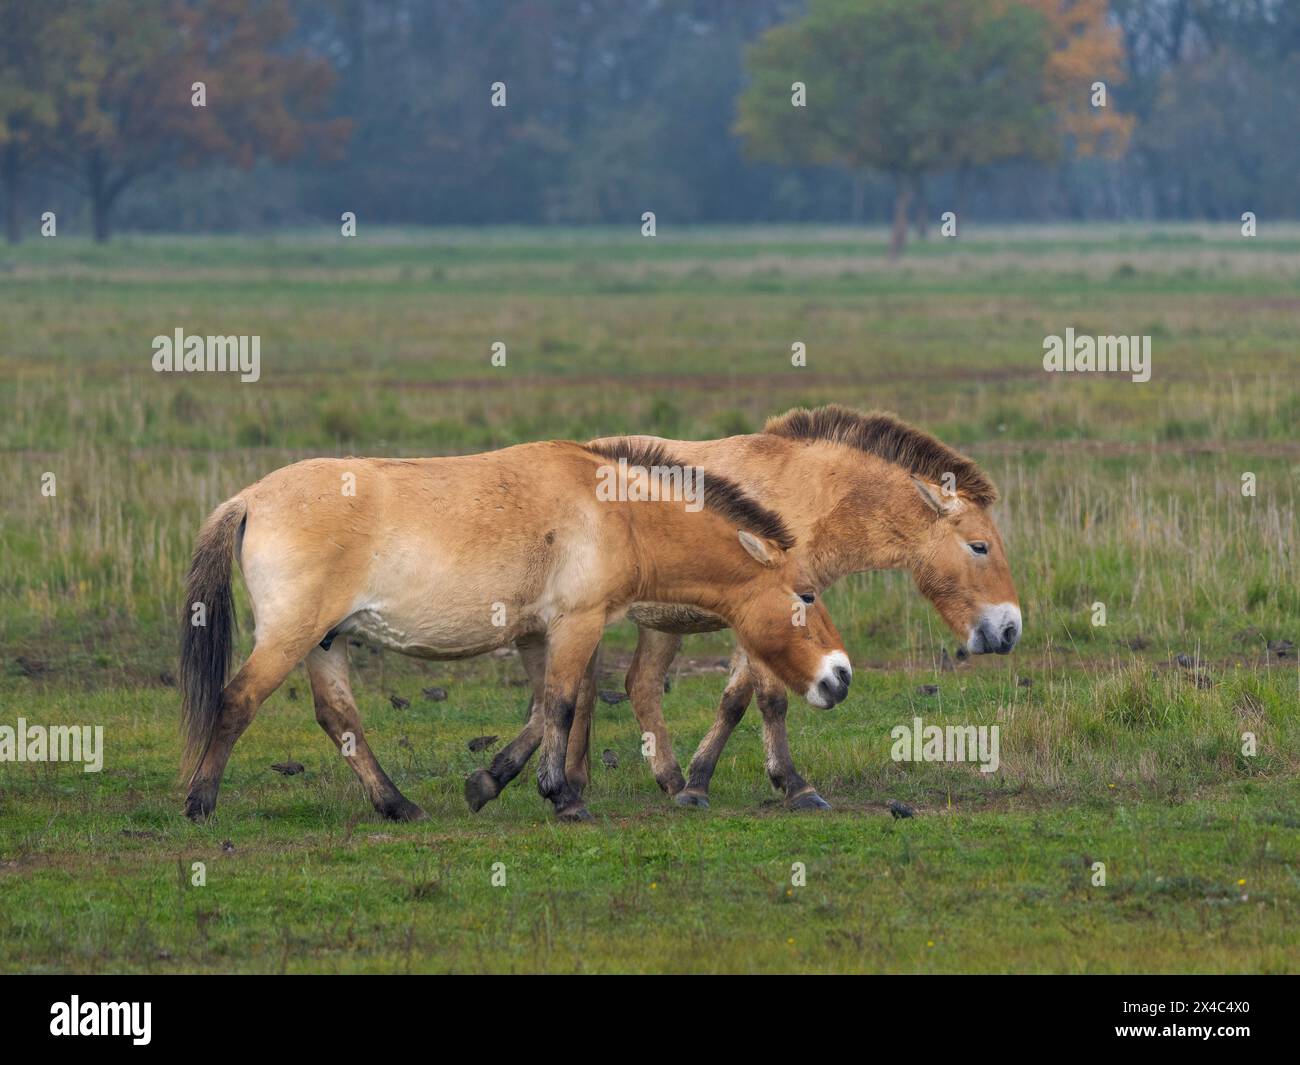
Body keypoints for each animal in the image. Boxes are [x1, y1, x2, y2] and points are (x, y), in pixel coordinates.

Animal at [183, 436, 852, 821]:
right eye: (806, 595)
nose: (841, 677)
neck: (615, 510)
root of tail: (250, 498)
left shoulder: (535, 635)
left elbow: (542, 710)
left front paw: (489, 783)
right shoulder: (577, 624)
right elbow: (562, 705)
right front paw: (564, 798)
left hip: (327, 641)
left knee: (338, 718)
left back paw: (397, 805)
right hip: (292, 635)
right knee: (237, 699)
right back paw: (199, 802)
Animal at [564, 408, 1019, 806]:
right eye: (979, 546)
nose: (1010, 628)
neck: (812, 497)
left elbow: (735, 700)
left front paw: (697, 783)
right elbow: (771, 700)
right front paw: (796, 787)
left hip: (660, 625)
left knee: (638, 686)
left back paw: (664, 779)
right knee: (588, 690)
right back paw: (573, 780)